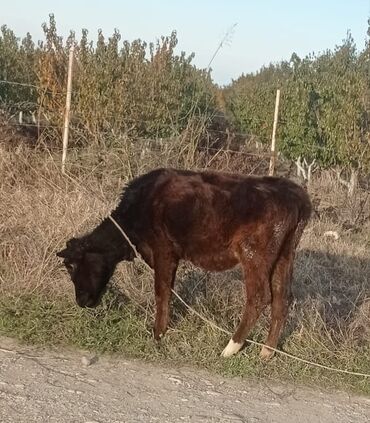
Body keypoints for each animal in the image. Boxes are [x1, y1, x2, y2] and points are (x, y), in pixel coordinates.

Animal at [57, 168, 312, 358]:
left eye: (71, 265)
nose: (81, 301)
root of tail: (296, 195)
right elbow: (168, 290)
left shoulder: (163, 250)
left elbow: (161, 291)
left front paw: (157, 334)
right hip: (284, 255)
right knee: (282, 298)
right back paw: (266, 353)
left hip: (254, 254)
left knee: (259, 297)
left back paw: (230, 348)